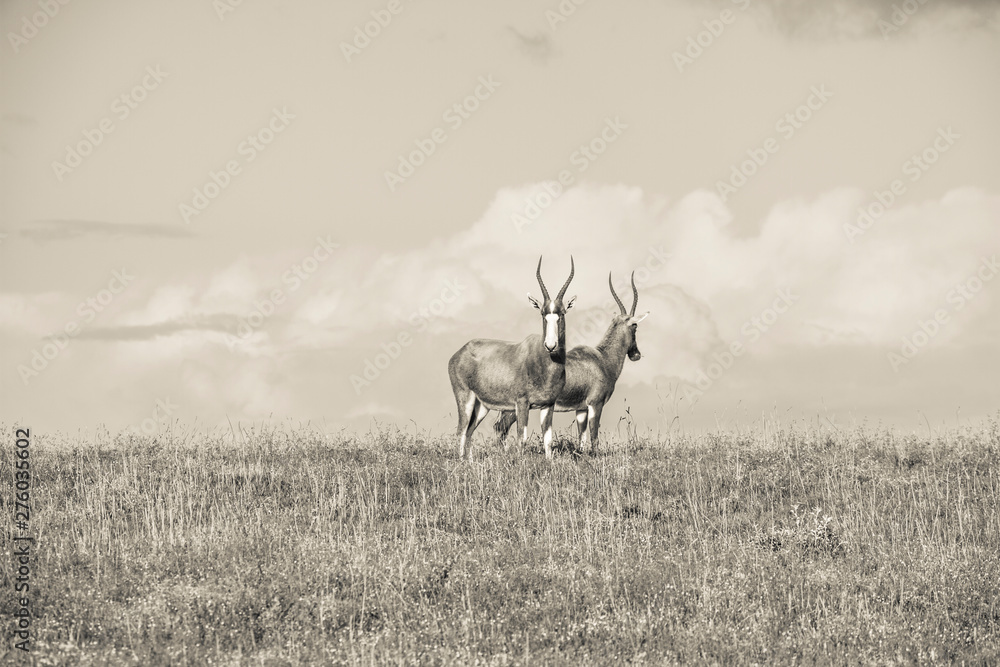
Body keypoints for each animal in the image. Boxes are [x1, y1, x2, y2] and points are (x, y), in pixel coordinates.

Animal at [448, 256, 576, 460]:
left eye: (561, 313)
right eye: (543, 313)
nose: (550, 345)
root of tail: (459, 353)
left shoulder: (548, 404)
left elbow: (548, 440)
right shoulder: (522, 403)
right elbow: (521, 438)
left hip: (482, 406)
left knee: (469, 431)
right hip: (465, 398)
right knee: (461, 430)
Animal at [494, 272, 648, 452]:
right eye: (635, 325)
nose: (636, 354)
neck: (601, 359)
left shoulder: (581, 409)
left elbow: (582, 439)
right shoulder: (595, 404)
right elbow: (594, 438)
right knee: (501, 427)